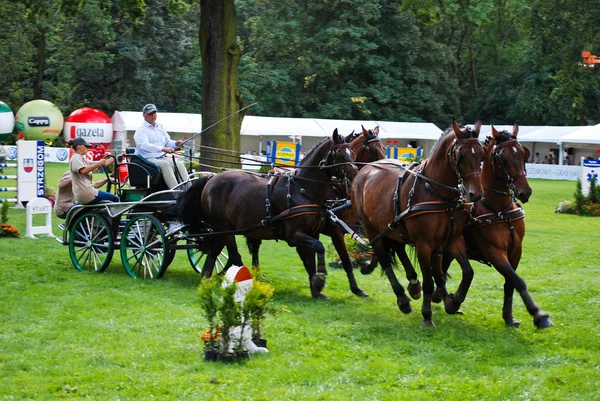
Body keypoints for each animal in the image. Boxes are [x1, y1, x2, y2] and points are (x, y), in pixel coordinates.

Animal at [177, 130, 356, 296]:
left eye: (352, 153)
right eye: (340, 155)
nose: (355, 175)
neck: (302, 188)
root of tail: (210, 178)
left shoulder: (313, 233)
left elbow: (310, 258)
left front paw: (316, 289)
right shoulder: (294, 236)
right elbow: (318, 248)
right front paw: (320, 279)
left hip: (227, 228)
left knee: (217, 250)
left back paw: (211, 278)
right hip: (224, 227)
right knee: (228, 252)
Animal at [246, 125, 386, 296]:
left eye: (384, 148)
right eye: (373, 150)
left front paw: (367, 268)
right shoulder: (335, 229)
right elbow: (345, 259)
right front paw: (355, 287)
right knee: (256, 246)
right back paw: (257, 274)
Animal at [352, 119, 488, 324]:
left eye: (481, 153)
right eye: (460, 155)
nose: (475, 194)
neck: (437, 192)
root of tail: (366, 169)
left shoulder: (453, 239)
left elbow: (464, 272)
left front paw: (453, 300)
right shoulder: (424, 244)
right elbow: (429, 281)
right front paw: (427, 315)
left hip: (394, 226)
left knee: (400, 248)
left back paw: (414, 284)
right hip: (373, 230)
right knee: (384, 258)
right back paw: (402, 298)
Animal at [436, 124, 552, 328]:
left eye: (523, 153)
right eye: (502, 158)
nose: (525, 192)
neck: (500, 210)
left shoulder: (516, 251)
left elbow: (510, 282)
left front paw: (509, 317)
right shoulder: (494, 252)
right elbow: (518, 280)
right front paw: (538, 315)